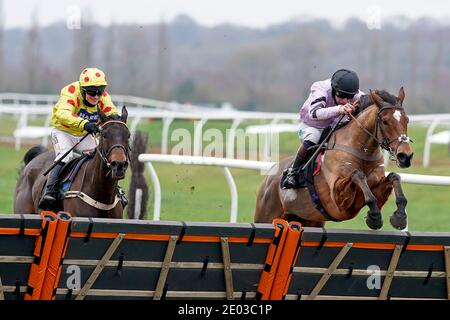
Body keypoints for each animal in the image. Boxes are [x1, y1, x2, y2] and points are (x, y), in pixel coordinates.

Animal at [255, 87, 414, 230]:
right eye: (385, 121)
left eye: (407, 120)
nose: (405, 156)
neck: (362, 151)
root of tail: (268, 177)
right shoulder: (339, 198)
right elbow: (358, 175)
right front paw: (374, 216)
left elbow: (394, 177)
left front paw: (399, 217)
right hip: (265, 216)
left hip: (309, 220)